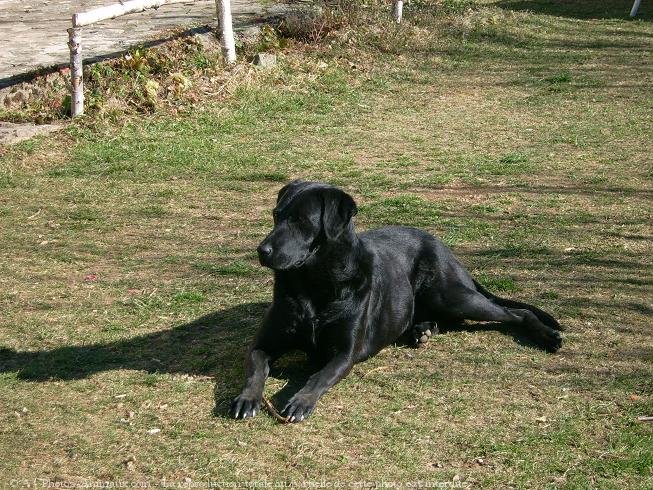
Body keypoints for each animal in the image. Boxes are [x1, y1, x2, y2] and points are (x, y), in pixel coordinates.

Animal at [229, 180, 560, 422]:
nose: (262, 251)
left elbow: (318, 376)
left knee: (515, 312)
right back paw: (422, 330)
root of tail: (443, 246)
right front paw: (247, 398)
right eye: (276, 215)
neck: (315, 284)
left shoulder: (344, 353)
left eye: (300, 220)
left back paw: (548, 336)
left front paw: (301, 400)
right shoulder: (263, 343)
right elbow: (255, 369)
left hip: (452, 296)